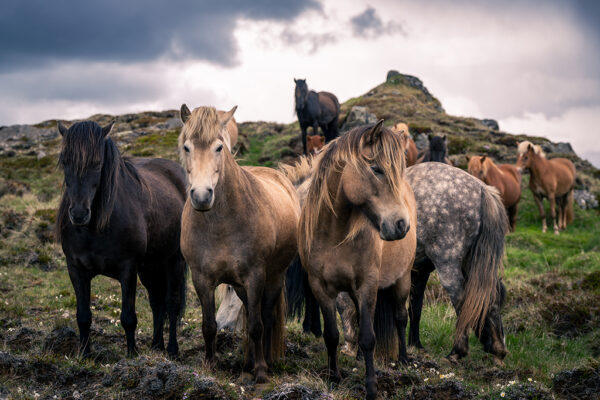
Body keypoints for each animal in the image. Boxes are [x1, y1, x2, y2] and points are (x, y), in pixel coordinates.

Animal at [56, 120, 188, 358]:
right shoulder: (76, 269)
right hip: (150, 266)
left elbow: (128, 317)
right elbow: (83, 316)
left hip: (174, 261)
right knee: (157, 302)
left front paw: (132, 354)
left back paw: (172, 350)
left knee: (172, 304)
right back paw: (156, 345)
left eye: (97, 163)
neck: (94, 229)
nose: (79, 214)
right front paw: (84, 354)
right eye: (64, 161)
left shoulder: (128, 269)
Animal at [178, 104, 300, 384]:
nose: (202, 196)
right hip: (241, 286)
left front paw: (262, 372)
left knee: (265, 317)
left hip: (273, 277)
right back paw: (247, 364)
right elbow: (209, 325)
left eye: (219, 147)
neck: (222, 225)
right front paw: (210, 365)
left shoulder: (255, 276)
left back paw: (263, 363)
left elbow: (256, 326)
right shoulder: (201, 279)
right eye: (187, 147)